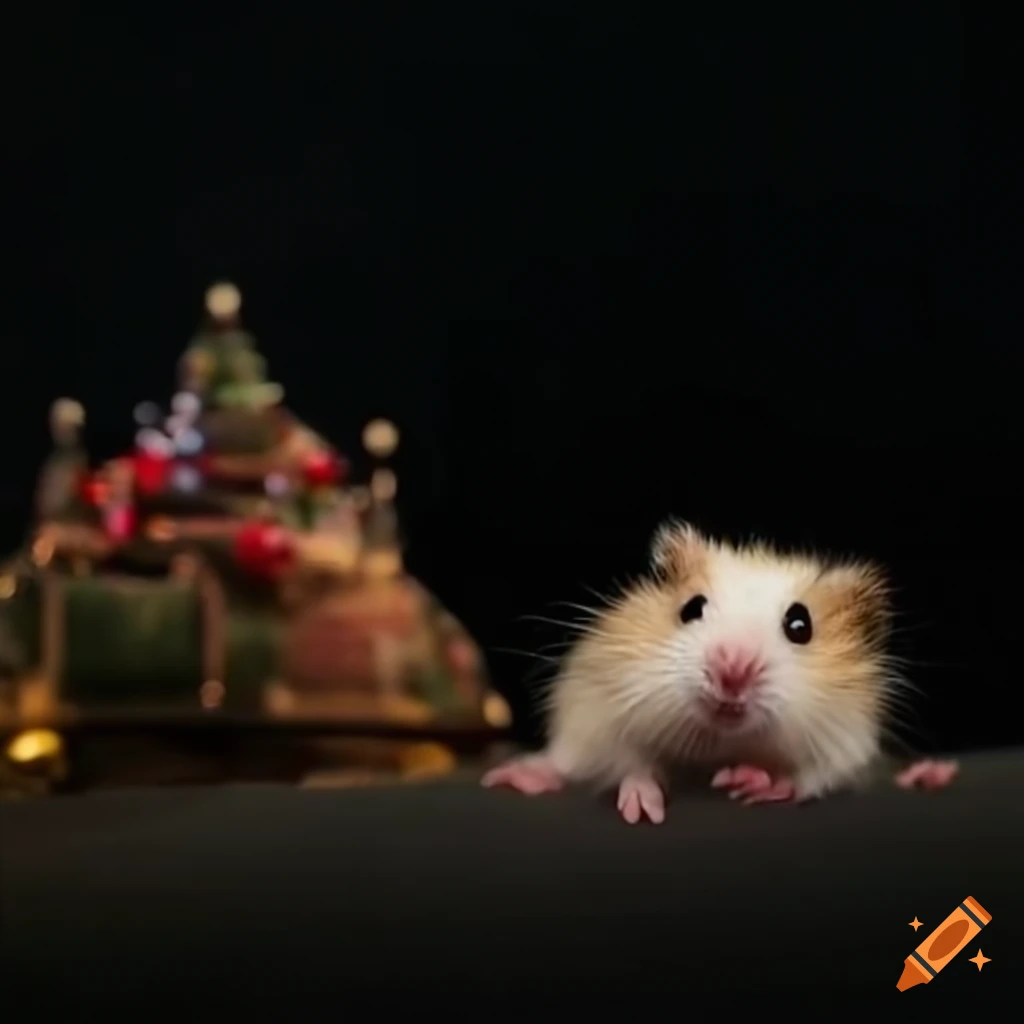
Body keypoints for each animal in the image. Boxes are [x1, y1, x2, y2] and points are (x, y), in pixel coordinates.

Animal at [482, 519, 958, 823]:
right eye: (691, 608)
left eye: (800, 625)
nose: (732, 672)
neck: (718, 741)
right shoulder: (600, 705)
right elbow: (630, 764)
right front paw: (644, 809)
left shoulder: (846, 739)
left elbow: (808, 777)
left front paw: (747, 781)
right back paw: (515, 776)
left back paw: (932, 774)